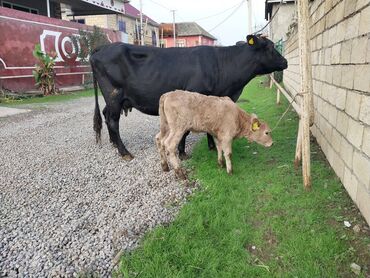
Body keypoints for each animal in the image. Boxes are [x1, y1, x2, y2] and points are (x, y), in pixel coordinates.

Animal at [91, 34, 288, 161]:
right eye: (270, 47)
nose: (285, 61)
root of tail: (103, 47)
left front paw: (211, 146)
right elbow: (185, 131)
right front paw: (182, 152)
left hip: (113, 99)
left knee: (106, 115)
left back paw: (114, 144)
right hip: (114, 95)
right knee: (112, 121)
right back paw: (124, 152)